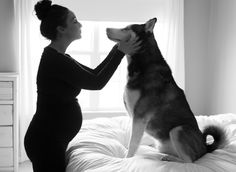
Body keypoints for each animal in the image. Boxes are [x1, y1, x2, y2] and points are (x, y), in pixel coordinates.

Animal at [106, 18, 226, 163]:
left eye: (126, 28)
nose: (106, 29)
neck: (145, 64)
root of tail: (205, 146)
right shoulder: (135, 117)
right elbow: (132, 140)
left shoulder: (140, 116)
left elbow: (133, 143)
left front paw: (126, 159)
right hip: (163, 144)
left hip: (178, 130)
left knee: (189, 161)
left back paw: (170, 158)